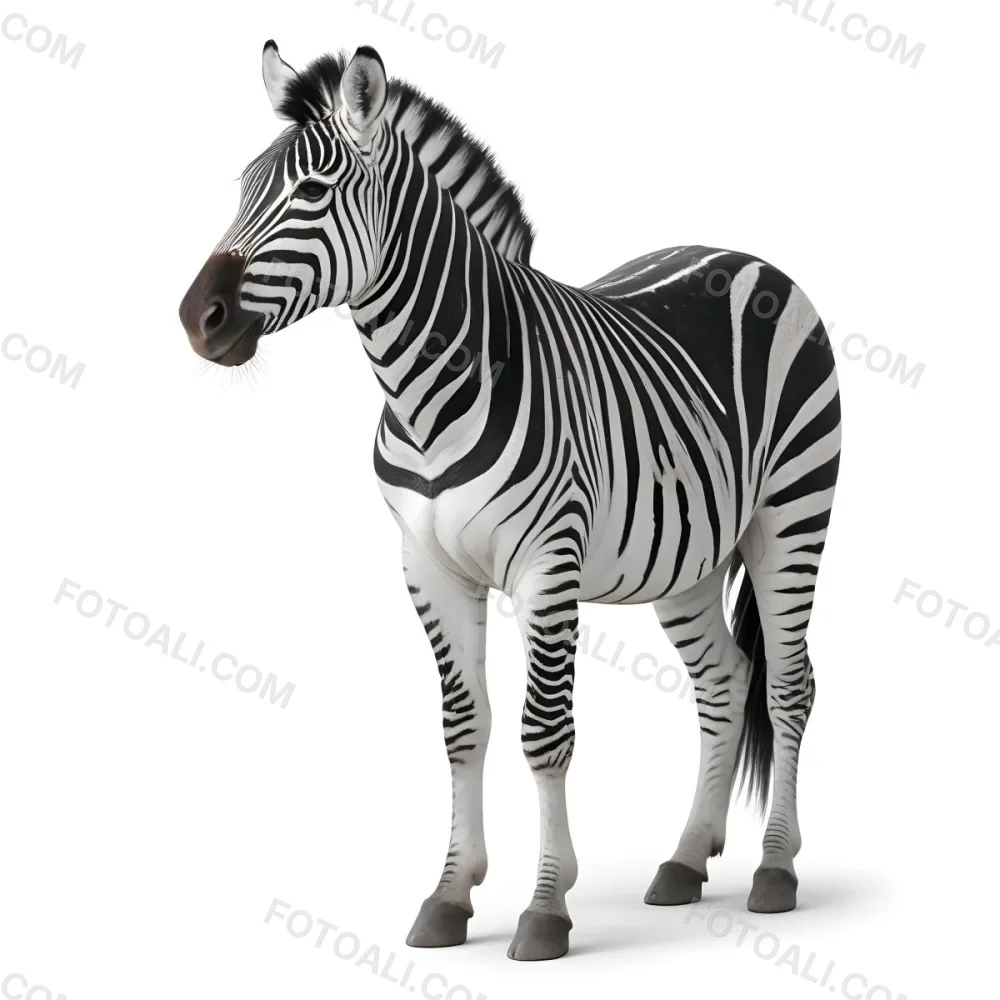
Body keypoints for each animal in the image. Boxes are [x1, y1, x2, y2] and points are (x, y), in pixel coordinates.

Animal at [179, 43, 841, 962]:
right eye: (242, 189)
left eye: (310, 192)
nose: (195, 319)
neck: (426, 393)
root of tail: (744, 256)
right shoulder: (426, 567)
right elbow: (464, 724)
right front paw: (450, 896)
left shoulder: (546, 564)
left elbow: (543, 731)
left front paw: (545, 908)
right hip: (691, 555)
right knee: (723, 680)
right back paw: (683, 860)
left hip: (792, 515)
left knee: (786, 684)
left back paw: (776, 869)